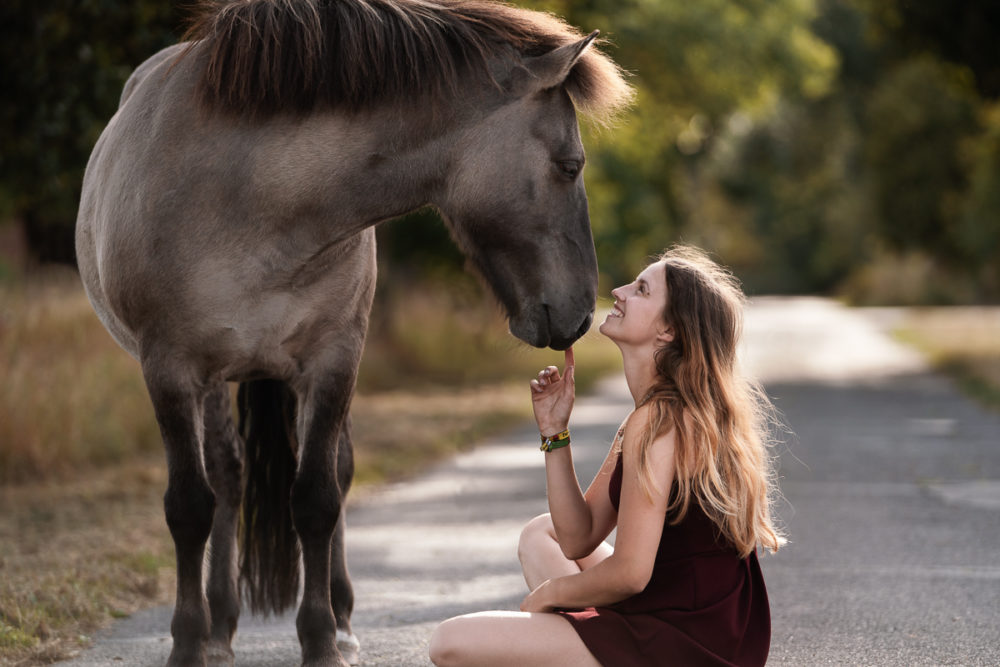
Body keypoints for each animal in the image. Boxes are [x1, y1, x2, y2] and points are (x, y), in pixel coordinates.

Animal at [72, 1, 632, 667]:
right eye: (570, 166)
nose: (580, 313)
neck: (251, 195)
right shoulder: (169, 367)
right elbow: (189, 506)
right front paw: (186, 643)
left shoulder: (334, 360)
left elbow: (317, 496)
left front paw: (321, 640)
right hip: (211, 380)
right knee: (227, 478)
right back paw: (219, 627)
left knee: (330, 472)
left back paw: (336, 619)